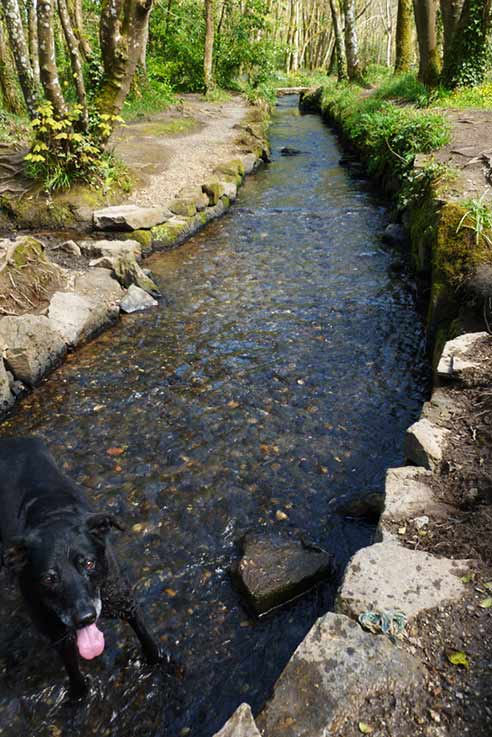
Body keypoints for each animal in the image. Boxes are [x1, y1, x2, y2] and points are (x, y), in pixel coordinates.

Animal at [0, 436, 161, 696]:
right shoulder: (57, 634)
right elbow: (73, 672)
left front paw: (160, 662)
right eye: (48, 578)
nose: (84, 618)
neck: (52, 517)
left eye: (88, 563)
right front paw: (79, 696)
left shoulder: (125, 602)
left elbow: (147, 639)